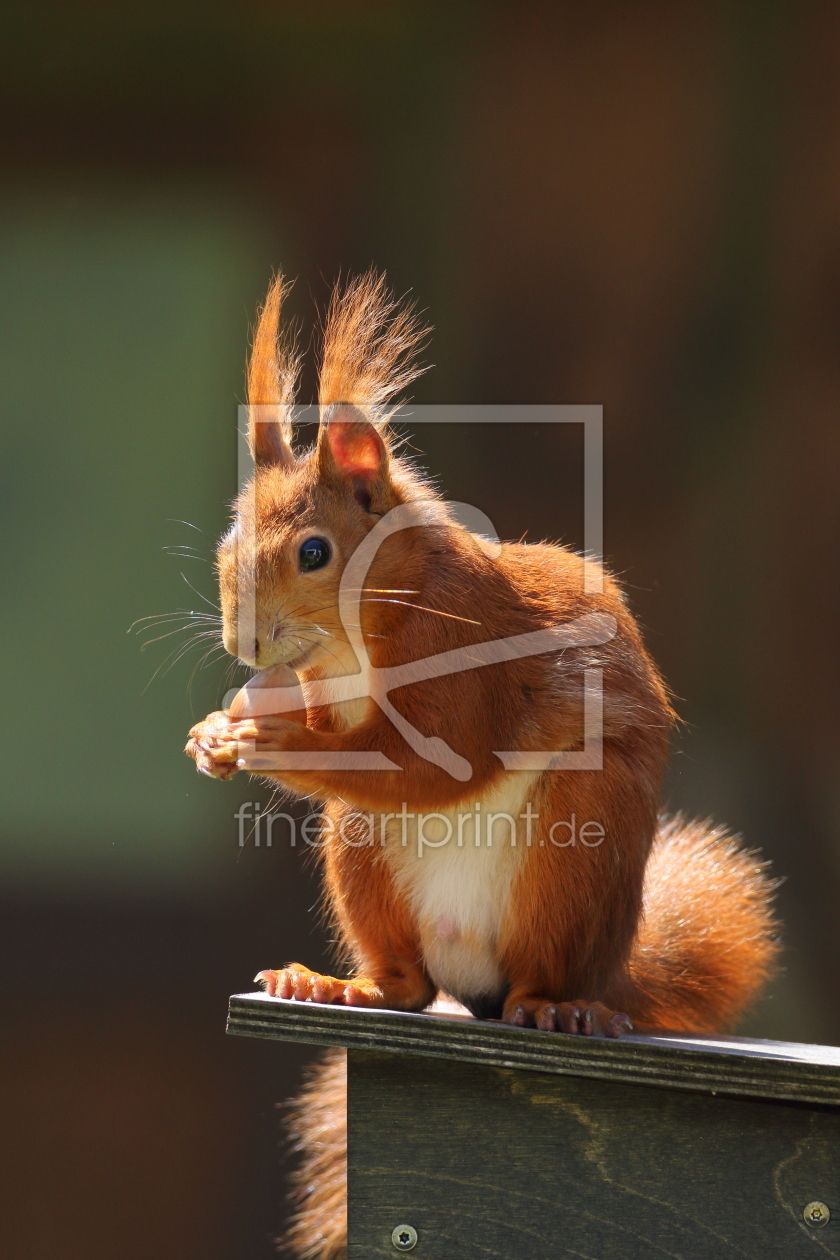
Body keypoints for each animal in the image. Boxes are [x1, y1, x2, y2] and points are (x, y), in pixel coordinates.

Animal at [185, 270, 780, 1254]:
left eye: (313, 551)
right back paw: (340, 985)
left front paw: (261, 740)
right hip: (363, 850)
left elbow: (442, 767)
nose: (246, 644)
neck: (366, 627)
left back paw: (556, 1008)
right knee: (410, 988)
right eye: (228, 544)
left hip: (574, 851)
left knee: (537, 972)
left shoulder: (469, 654)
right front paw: (214, 734)